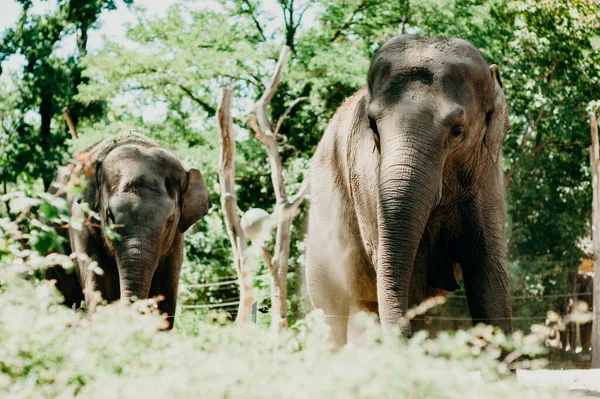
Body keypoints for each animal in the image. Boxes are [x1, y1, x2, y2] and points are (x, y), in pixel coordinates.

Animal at [47, 133, 211, 330]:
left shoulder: (177, 240)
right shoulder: (81, 224)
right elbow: (101, 290)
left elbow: (165, 296)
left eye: (170, 221)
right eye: (110, 216)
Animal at [308, 35, 512, 346]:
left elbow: (488, 276)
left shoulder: (487, 173)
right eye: (373, 126)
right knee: (332, 313)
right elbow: (412, 275)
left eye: (457, 131)